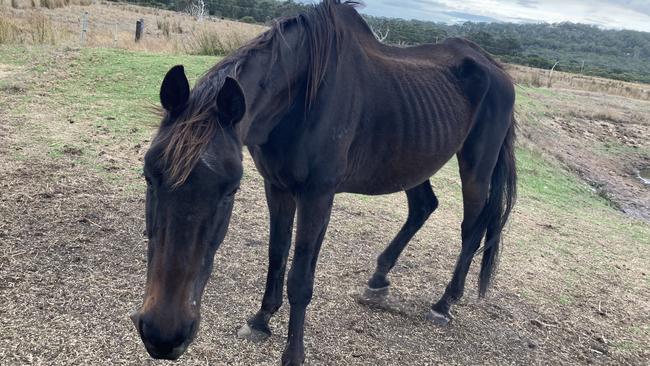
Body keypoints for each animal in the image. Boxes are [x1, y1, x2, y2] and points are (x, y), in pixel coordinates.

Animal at [130, 1, 516, 364]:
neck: (302, 97)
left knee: (472, 227)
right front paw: (260, 320)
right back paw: (378, 280)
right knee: (424, 207)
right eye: (149, 176)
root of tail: (497, 68)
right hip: (411, 159)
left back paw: (444, 302)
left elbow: (300, 277)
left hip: (476, 166)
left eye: (231, 190)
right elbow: (276, 254)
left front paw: (293, 353)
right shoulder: (277, 187)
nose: (164, 333)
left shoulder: (317, 195)